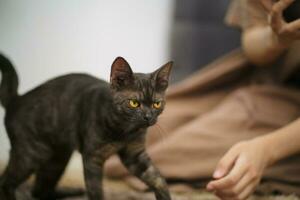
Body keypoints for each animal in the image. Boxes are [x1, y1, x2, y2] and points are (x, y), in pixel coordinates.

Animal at [0, 54, 172, 200]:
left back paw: (71, 192)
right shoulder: (93, 157)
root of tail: (16, 99)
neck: (124, 131)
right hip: (31, 154)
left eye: (157, 104)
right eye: (134, 103)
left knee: (39, 190)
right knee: (7, 181)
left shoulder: (135, 155)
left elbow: (158, 178)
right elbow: (96, 191)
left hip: (58, 158)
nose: (148, 117)